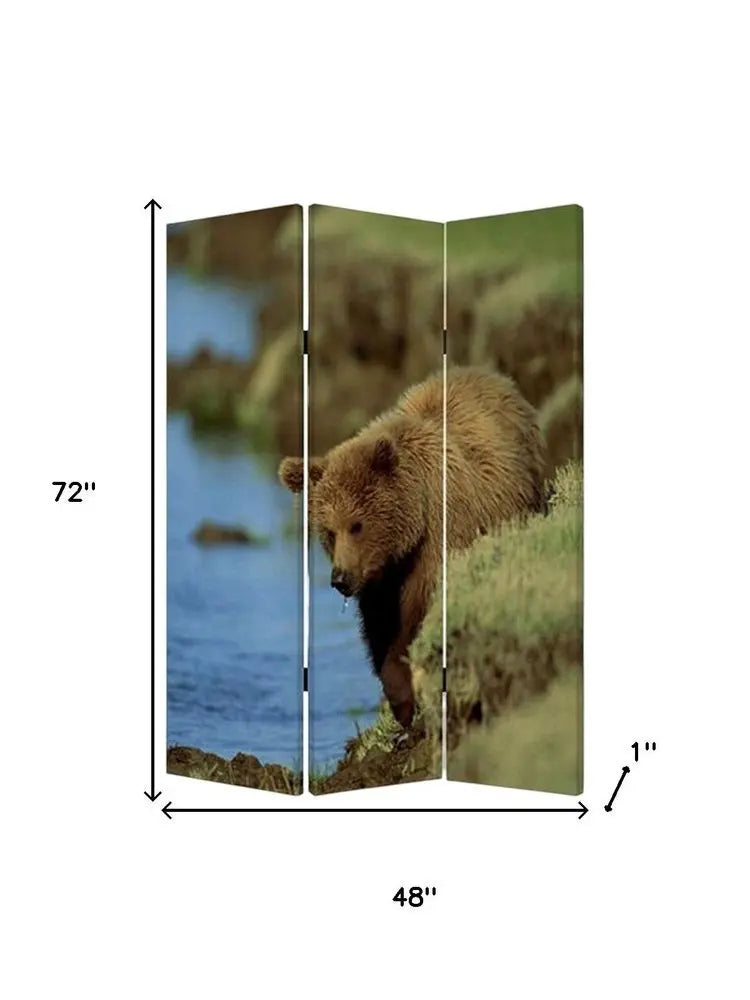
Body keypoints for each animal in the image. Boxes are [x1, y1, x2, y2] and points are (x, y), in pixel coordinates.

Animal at [278, 365, 546, 729]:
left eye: (356, 525)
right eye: (328, 532)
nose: (340, 579)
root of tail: (495, 377)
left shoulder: (438, 541)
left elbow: (416, 615)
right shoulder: (380, 581)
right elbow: (381, 629)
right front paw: (401, 701)